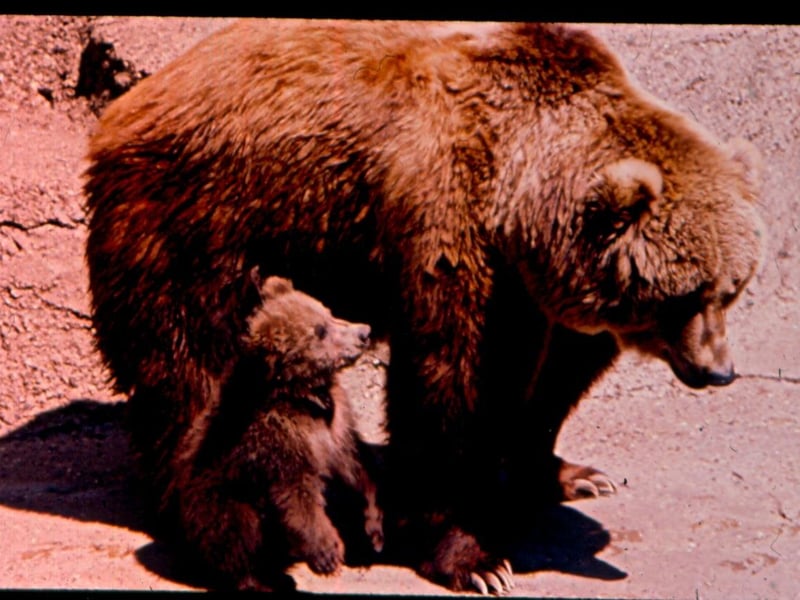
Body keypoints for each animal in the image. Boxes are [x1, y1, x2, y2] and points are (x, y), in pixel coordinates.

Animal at [177, 271, 383, 591]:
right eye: (320, 331)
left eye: (327, 312)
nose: (364, 332)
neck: (302, 394)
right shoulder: (275, 438)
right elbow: (295, 494)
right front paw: (328, 552)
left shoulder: (336, 422)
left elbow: (353, 461)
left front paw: (372, 522)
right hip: (218, 496)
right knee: (236, 529)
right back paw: (260, 579)